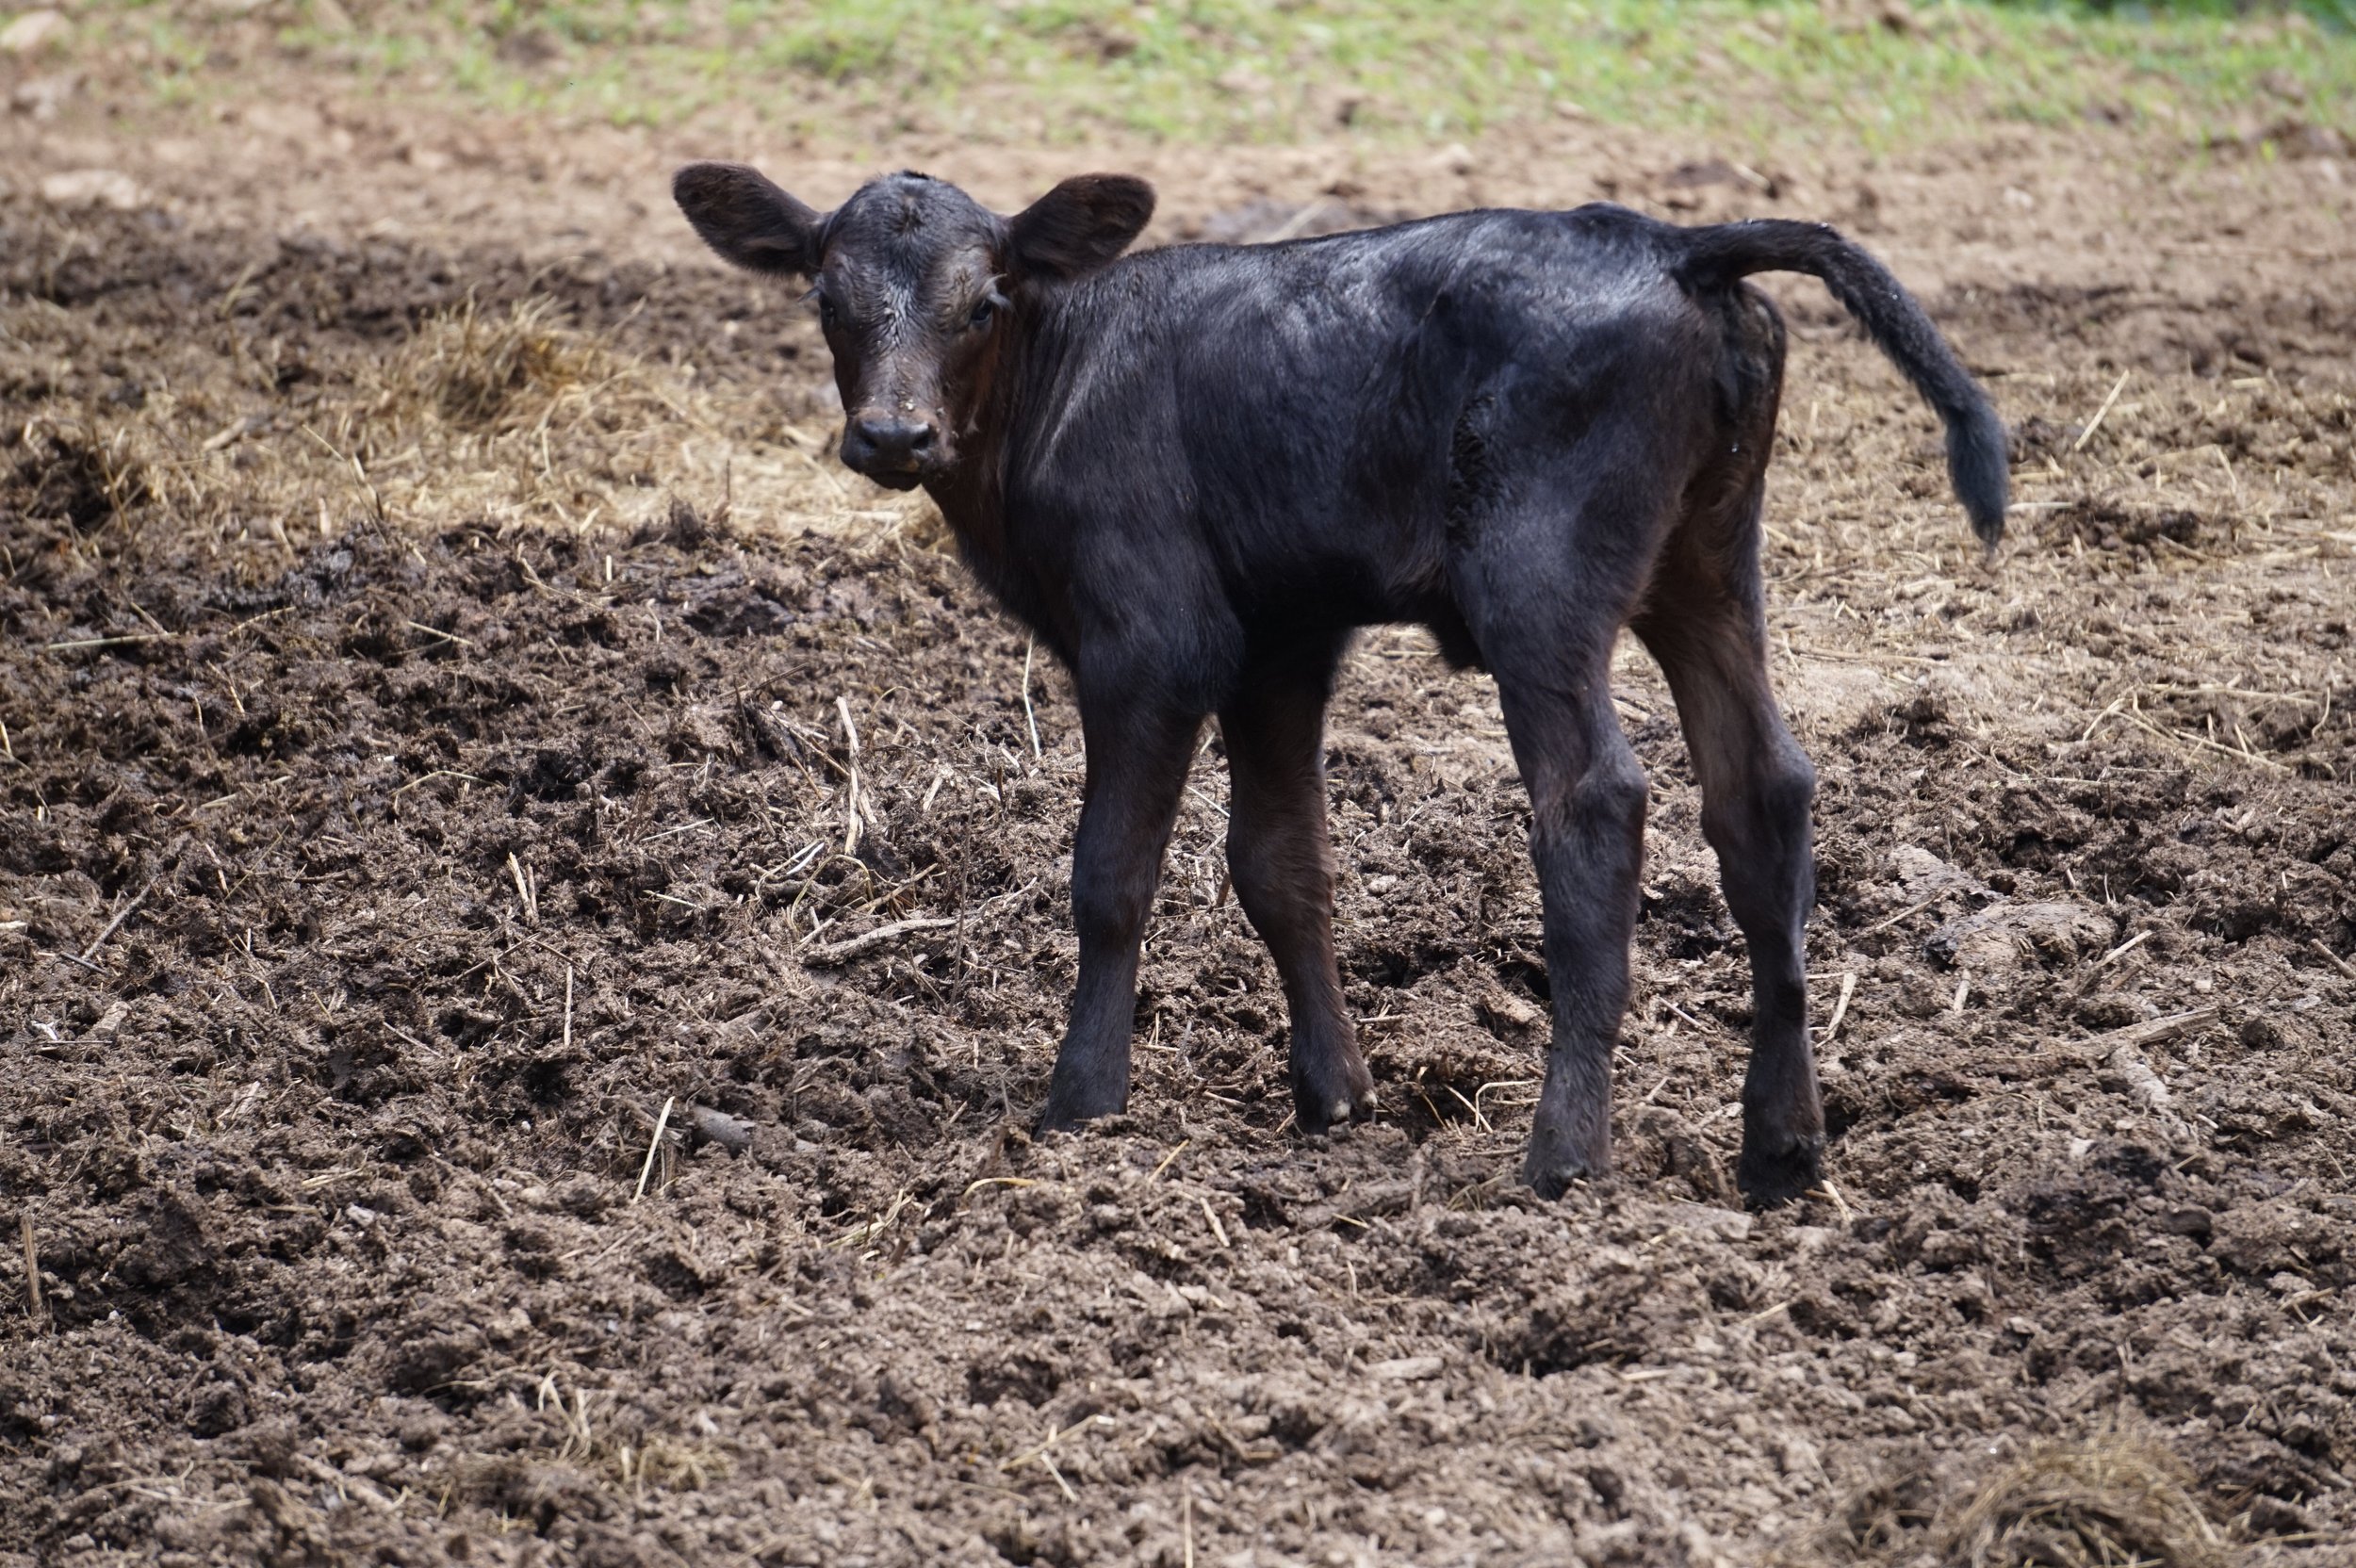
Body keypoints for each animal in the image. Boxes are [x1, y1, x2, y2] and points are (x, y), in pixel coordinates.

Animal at [672, 161, 2006, 1206]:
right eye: (826, 297)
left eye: (983, 300)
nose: (894, 436)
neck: (1059, 377)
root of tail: (1676, 244)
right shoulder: (1280, 641)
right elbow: (1282, 866)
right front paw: (1334, 1094)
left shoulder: (1151, 640)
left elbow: (1110, 876)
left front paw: (1082, 1102)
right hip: (1707, 562)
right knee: (1762, 790)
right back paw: (1781, 1145)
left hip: (1541, 579)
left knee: (1597, 802)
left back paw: (1562, 1153)